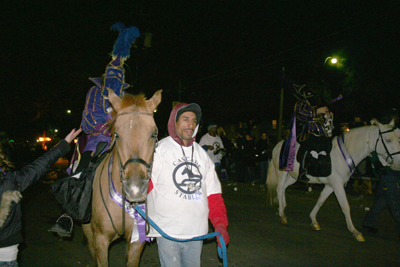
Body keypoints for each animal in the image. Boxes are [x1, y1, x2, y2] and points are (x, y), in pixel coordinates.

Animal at [268, 120, 400, 243]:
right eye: (388, 140)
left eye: (398, 139)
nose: (398, 164)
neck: (346, 153)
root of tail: (279, 145)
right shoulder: (338, 185)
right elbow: (345, 206)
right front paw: (355, 231)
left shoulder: (330, 185)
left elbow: (321, 201)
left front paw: (313, 220)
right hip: (281, 173)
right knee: (279, 189)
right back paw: (282, 215)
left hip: (293, 177)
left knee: (284, 188)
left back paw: (282, 207)